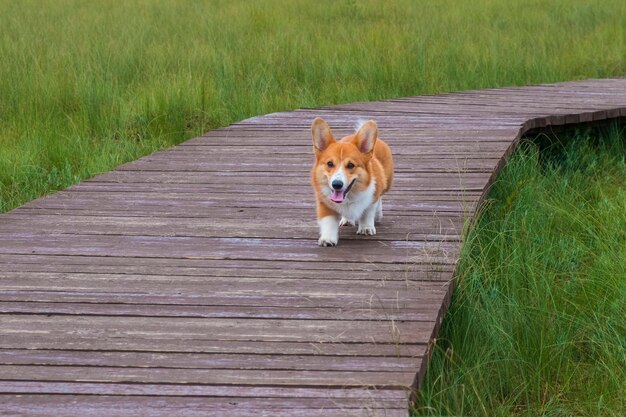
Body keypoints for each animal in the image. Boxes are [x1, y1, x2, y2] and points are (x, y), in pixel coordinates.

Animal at [310, 117, 392, 245]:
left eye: (350, 165)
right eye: (329, 163)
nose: (337, 184)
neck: (349, 196)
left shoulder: (372, 197)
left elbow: (367, 212)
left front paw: (366, 228)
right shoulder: (324, 202)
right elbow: (328, 221)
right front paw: (328, 238)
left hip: (387, 183)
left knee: (380, 198)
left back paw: (378, 214)